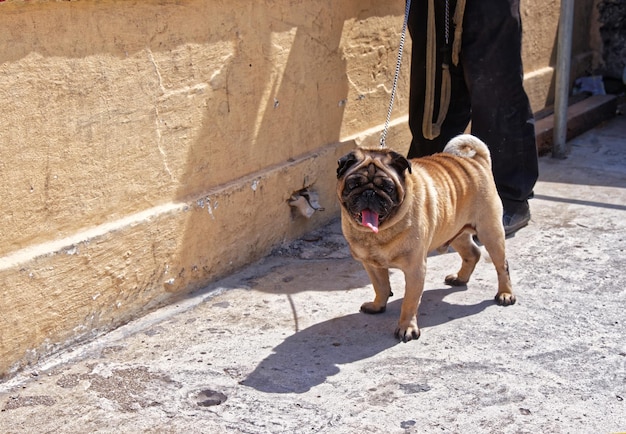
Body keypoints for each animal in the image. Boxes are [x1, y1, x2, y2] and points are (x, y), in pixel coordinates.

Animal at [334, 134, 516, 340]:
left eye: (388, 187)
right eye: (353, 184)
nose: (369, 193)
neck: (381, 231)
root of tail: (476, 160)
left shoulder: (415, 270)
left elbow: (409, 302)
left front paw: (407, 327)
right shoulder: (372, 265)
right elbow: (380, 287)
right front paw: (377, 306)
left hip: (490, 232)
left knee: (502, 266)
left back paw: (505, 294)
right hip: (456, 232)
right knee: (473, 253)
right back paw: (460, 278)